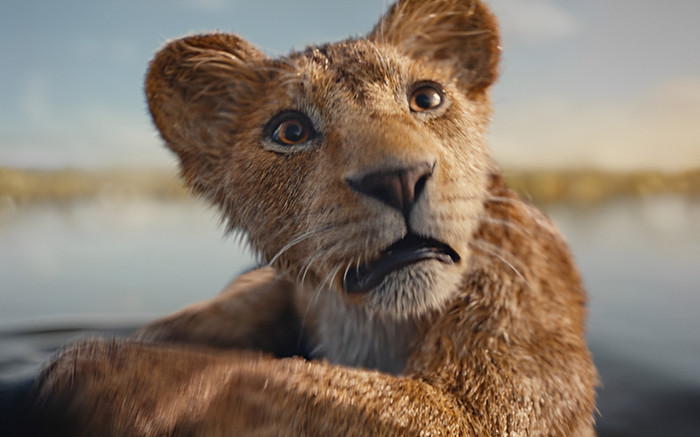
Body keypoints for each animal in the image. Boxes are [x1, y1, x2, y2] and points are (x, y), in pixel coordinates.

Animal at [16, 0, 597, 435]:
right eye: (290, 131)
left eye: (427, 97)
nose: (399, 178)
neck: (370, 323)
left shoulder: (495, 392)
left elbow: (274, 382)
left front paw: (103, 372)